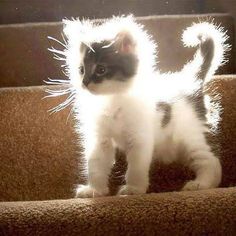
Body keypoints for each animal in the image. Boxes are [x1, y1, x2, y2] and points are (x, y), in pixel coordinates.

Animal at [57, 15, 229, 197]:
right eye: (81, 70)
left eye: (101, 69)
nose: (84, 83)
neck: (111, 100)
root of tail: (191, 80)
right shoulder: (99, 139)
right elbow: (96, 164)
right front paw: (94, 190)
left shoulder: (140, 137)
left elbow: (136, 167)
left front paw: (134, 189)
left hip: (192, 135)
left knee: (211, 161)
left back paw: (201, 184)